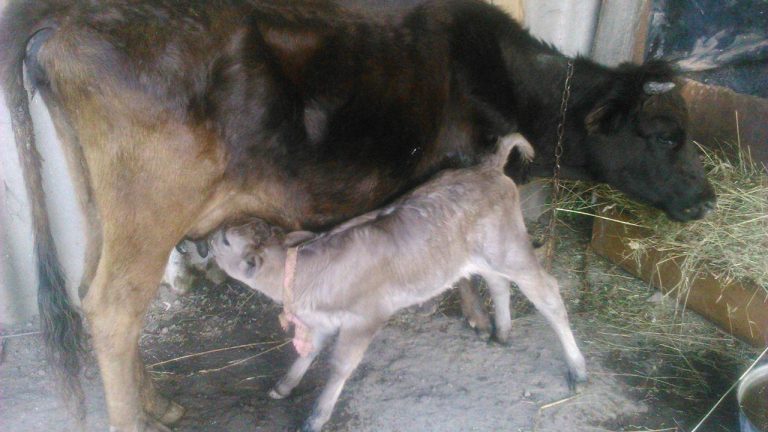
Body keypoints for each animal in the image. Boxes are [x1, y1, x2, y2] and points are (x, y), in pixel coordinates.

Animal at [210, 134, 587, 432]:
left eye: (225, 240)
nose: (201, 240)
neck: (304, 276)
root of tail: (487, 168)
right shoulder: (321, 320)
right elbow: (308, 352)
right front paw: (285, 386)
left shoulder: (365, 318)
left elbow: (339, 366)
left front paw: (316, 417)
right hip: (482, 254)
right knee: (498, 283)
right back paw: (502, 332)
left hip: (509, 247)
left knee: (547, 293)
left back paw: (577, 369)